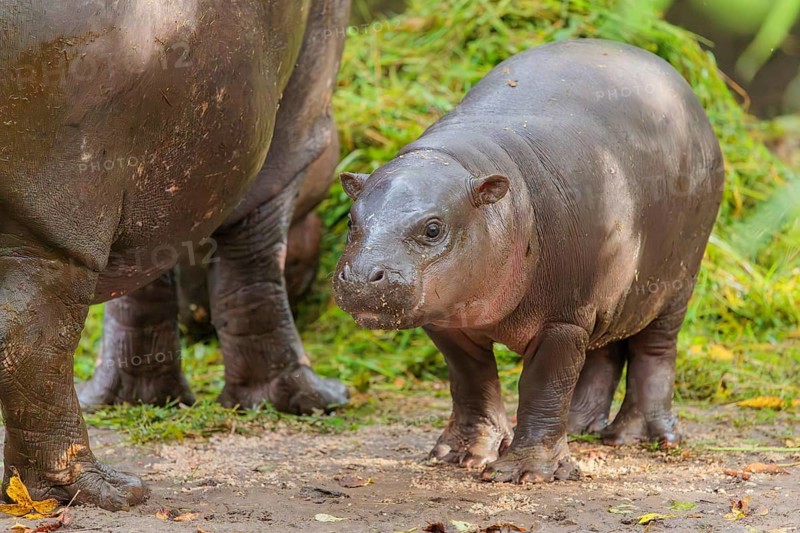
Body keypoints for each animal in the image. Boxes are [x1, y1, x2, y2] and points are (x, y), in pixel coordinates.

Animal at [0, 0, 350, 510]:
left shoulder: (153, 184)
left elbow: (140, 291)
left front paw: (139, 396)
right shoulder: (292, 135)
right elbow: (256, 272)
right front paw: (312, 398)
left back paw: (30, 494)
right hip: (61, 217)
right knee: (30, 340)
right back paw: (109, 491)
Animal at [334, 39, 724, 483]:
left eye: (433, 229)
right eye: (350, 220)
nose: (362, 275)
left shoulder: (561, 320)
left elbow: (544, 387)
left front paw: (526, 471)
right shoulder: (448, 322)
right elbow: (472, 382)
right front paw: (460, 454)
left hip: (672, 286)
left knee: (654, 351)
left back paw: (637, 437)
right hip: (609, 287)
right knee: (603, 353)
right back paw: (579, 427)